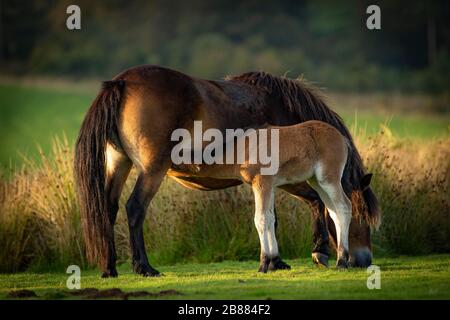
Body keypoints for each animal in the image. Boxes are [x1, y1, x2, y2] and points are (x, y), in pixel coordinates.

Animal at [74, 65, 380, 278]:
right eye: (362, 215)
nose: (364, 260)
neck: (280, 106)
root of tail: (122, 82)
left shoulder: (270, 179)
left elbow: (274, 216)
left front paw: (277, 261)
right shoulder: (284, 176)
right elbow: (311, 203)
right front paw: (318, 252)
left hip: (119, 163)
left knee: (108, 208)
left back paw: (109, 268)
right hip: (152, 170)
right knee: (135, 208)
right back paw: (145, 268)